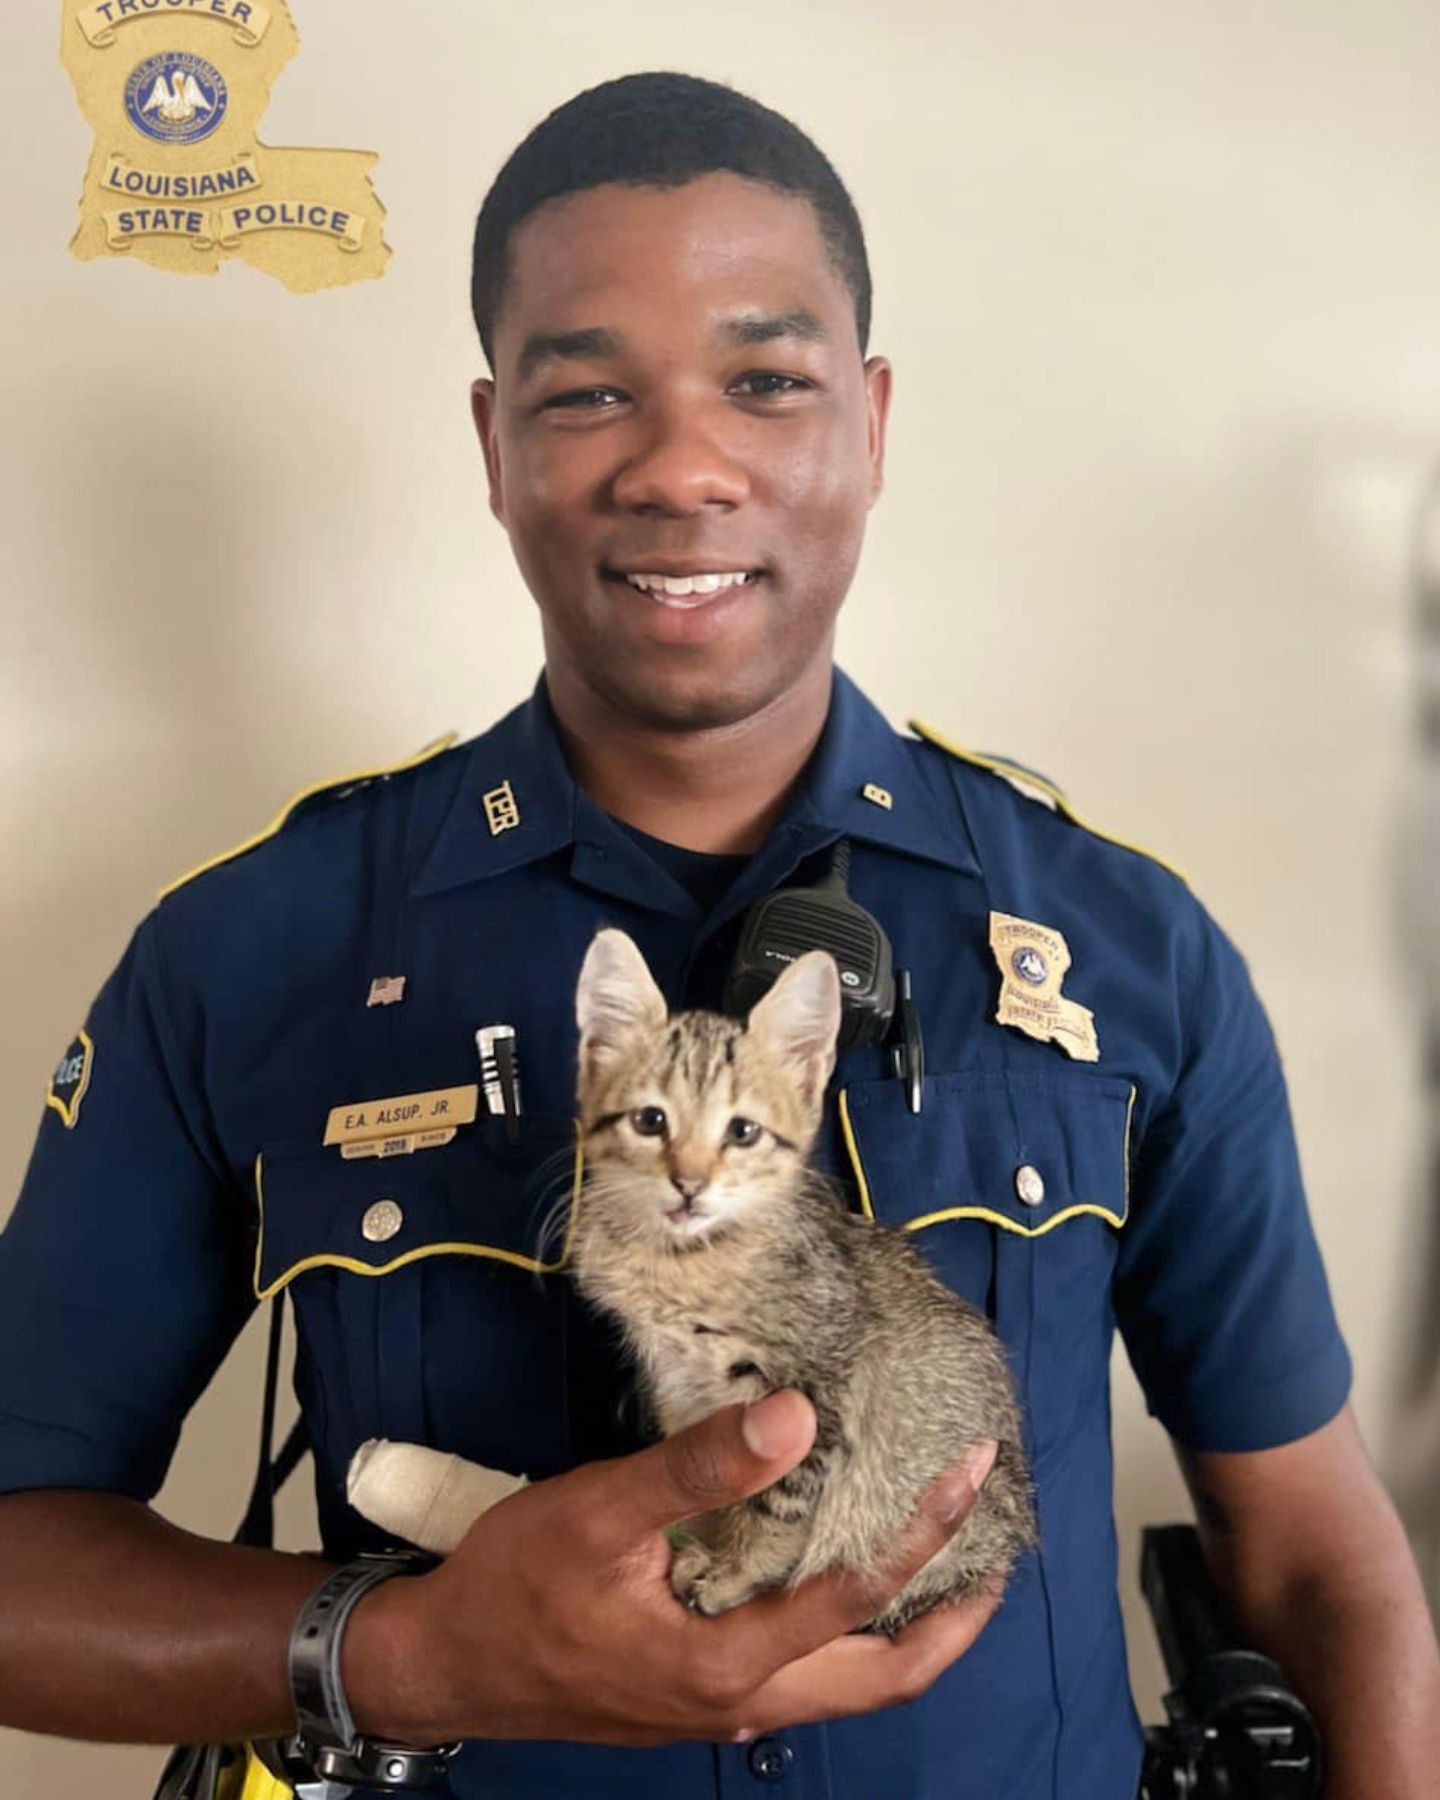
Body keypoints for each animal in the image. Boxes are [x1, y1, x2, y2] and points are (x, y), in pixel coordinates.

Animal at [565, 928, 1036, 1634]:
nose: (688, 1184)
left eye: (742, 1131)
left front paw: (733, 1573)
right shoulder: (682, 1390)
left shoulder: (820, 1391)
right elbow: (719, 1496)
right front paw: (707, 1547)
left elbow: (779, 1503)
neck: (684, 1260)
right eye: (650, 1121)